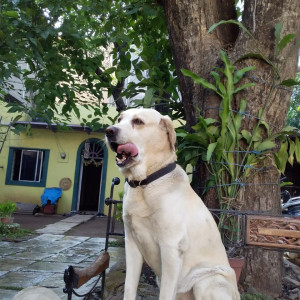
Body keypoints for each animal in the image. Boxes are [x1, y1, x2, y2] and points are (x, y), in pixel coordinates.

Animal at [105, 108, 239, 300]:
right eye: (119, 119)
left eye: (138, 121)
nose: (109, 131)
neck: (145, 184)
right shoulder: (131, 243)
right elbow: (129, 288)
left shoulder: (171, 247)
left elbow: (165, 294)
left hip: (206, 281)